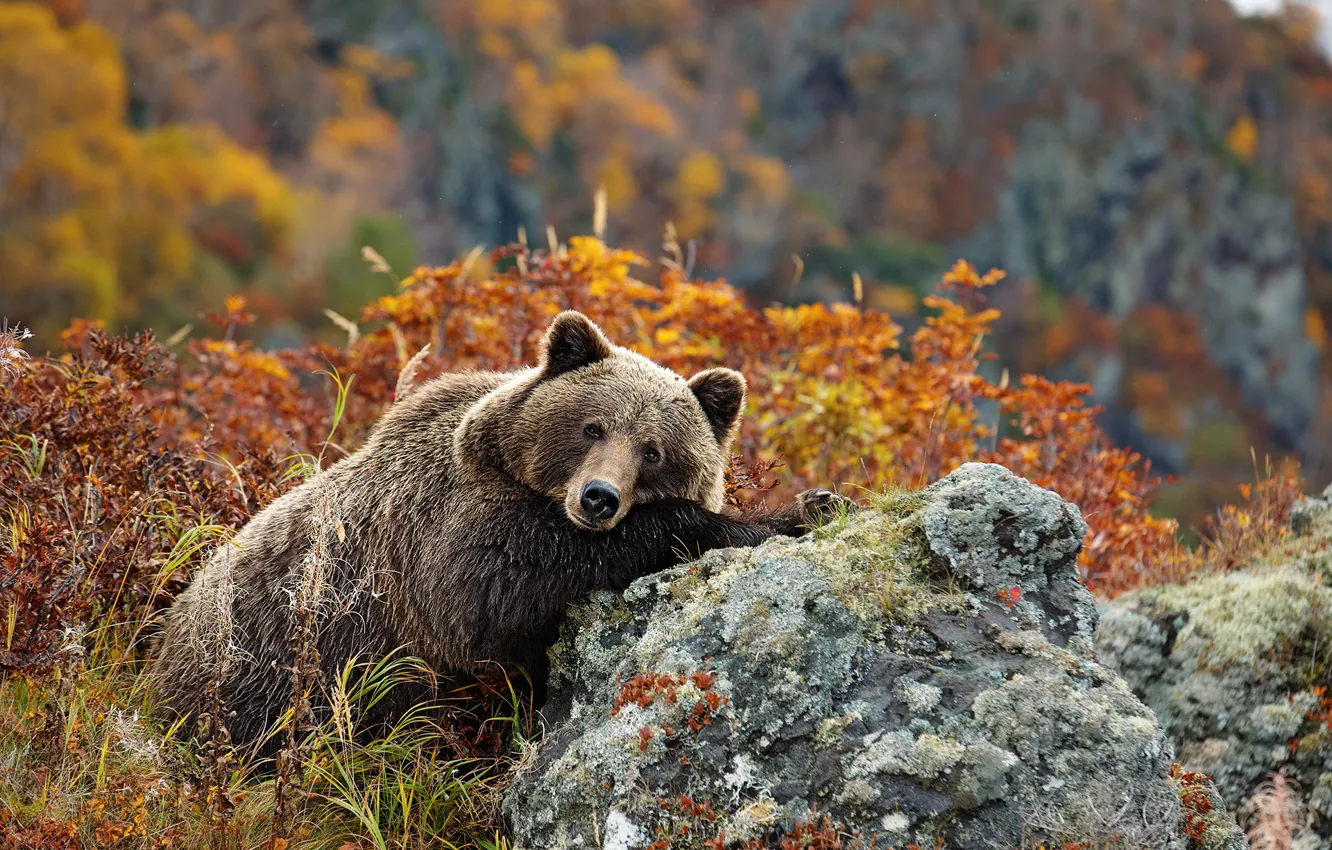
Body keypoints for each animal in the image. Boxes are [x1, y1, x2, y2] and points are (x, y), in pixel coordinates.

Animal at [148, 311, 852, 746]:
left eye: (653, 450)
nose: (599, 498)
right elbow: (494, 593)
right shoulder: (440, 539)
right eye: (592, 426)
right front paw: (766, 518)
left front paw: (816, 502)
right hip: (260, 676)